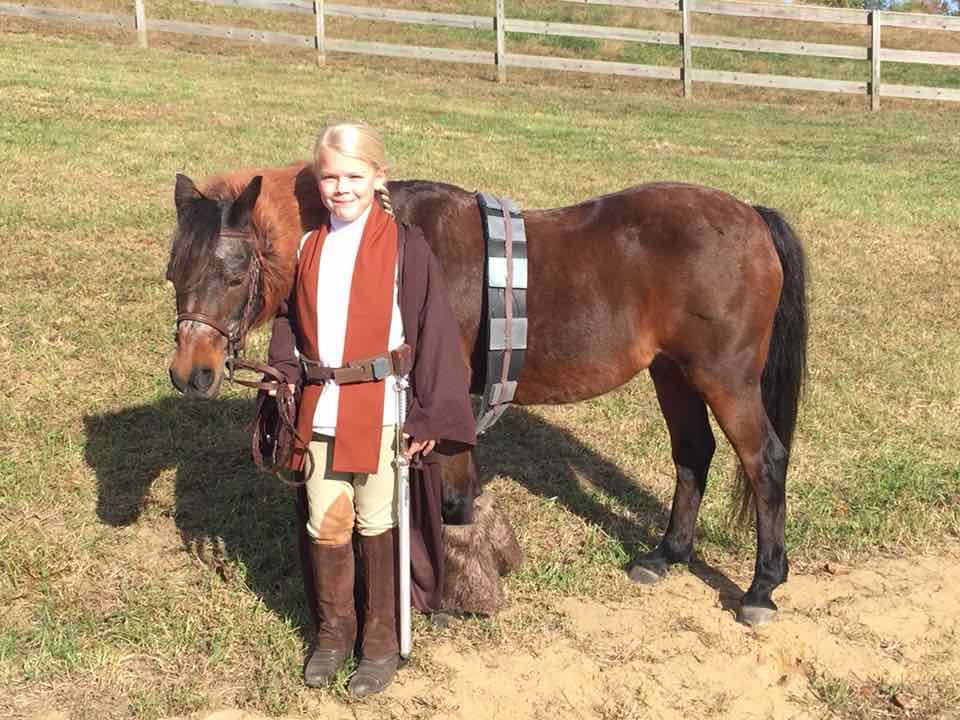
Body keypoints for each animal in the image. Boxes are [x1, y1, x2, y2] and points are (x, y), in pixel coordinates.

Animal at [166, 161, 808, 626]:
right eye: (174, 274)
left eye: (233, 274)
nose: (190, 372)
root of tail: (750, 216)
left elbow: (454, 502)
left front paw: (453, 596)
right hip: (673, 374)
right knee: (693, 454)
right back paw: (667, 554)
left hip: (725, 379)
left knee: (764, 461)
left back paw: (761, 586)